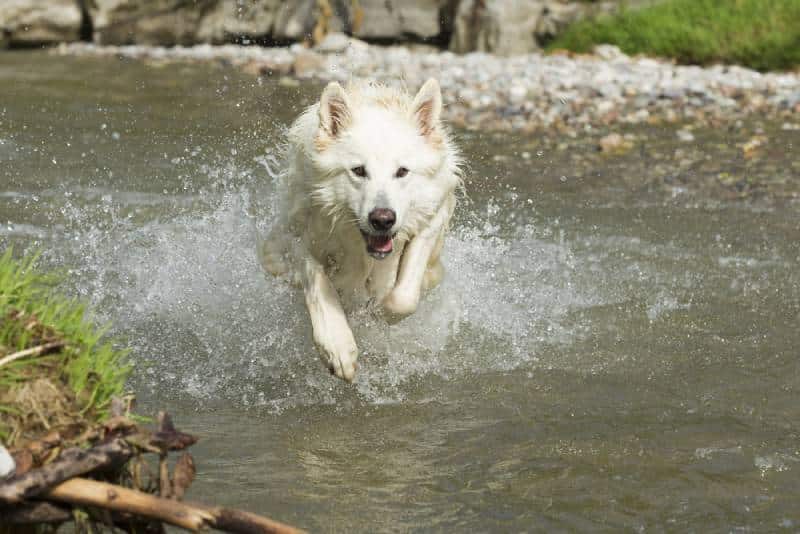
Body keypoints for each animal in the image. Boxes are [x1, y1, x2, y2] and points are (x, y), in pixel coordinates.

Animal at [262, 78, 462, 382]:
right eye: (358, 170)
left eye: (402, 172)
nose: (383, 219)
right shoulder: (290, 236)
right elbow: (317, 279)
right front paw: (337, 345)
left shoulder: (432, 216)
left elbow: (403, 297)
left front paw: (381, 312)